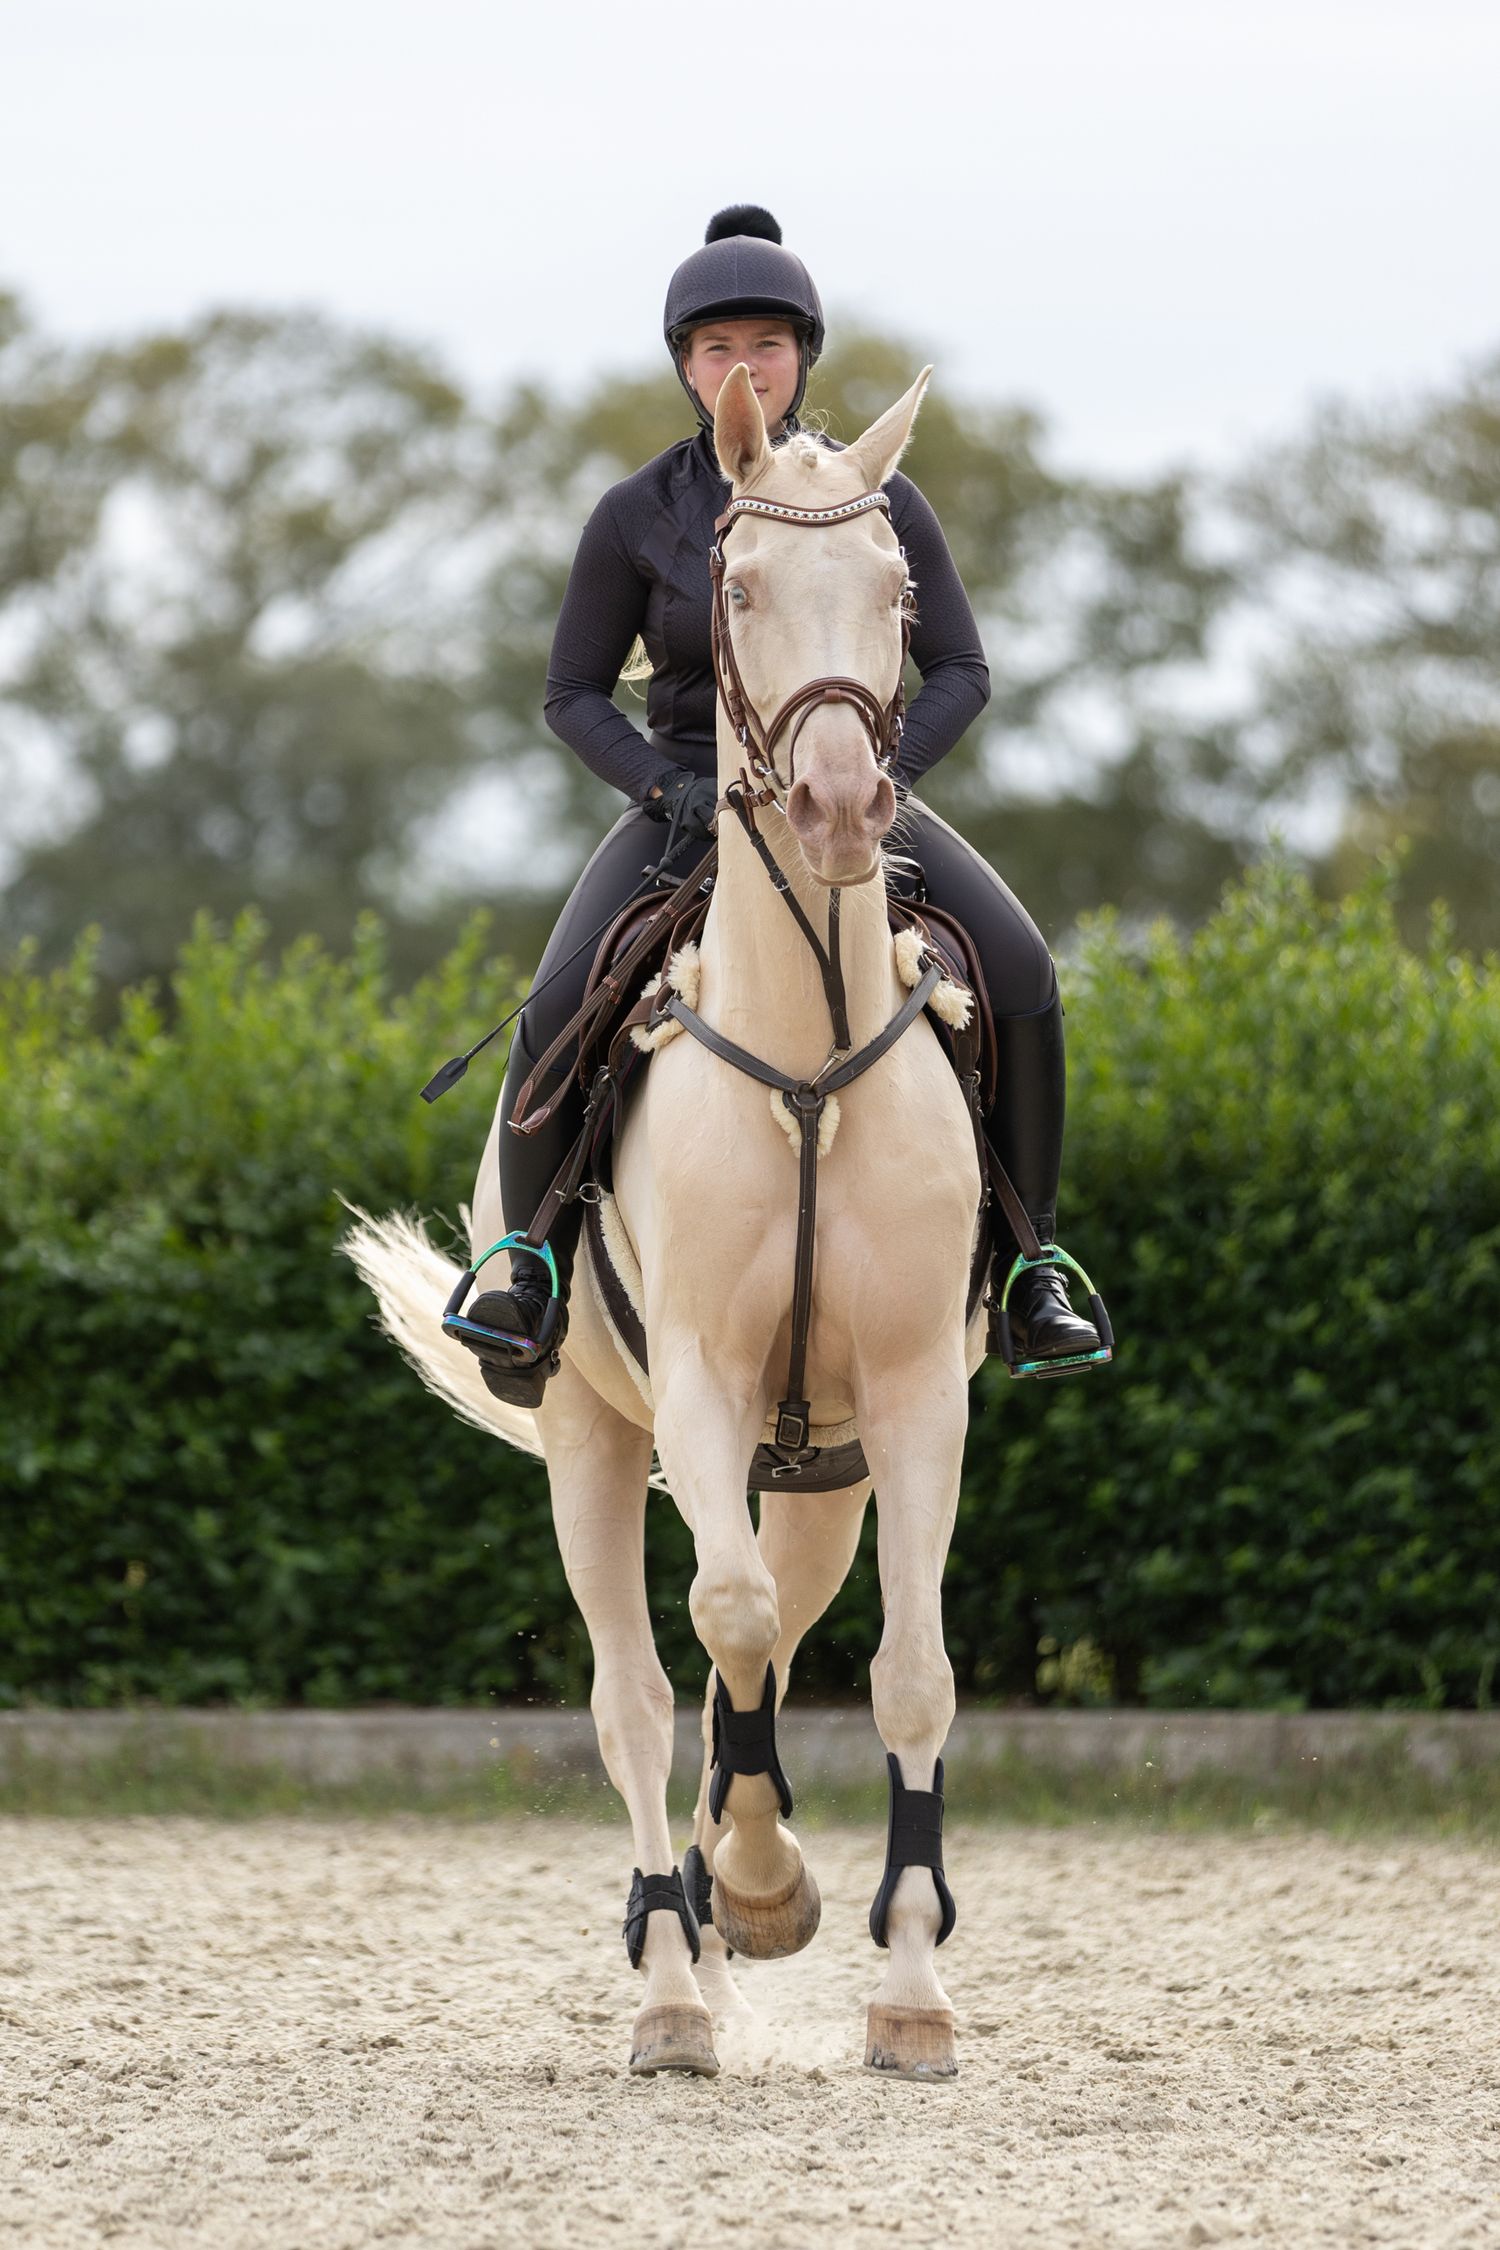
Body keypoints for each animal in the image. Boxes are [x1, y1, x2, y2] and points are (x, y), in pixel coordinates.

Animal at [347, 362, 987, 2083]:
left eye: (898, 590)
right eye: (739, 585)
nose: (838, 804)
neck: (806, 1059)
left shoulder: (916, 1395)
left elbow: (902, 1673)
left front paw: (906, 1989)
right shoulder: (697, 1372)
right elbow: (727, 1612)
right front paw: (754, 1891)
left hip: (824, 1466)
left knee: (764, 1635)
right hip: (589, 1430)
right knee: (640, 1688)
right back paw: (676, 1977)